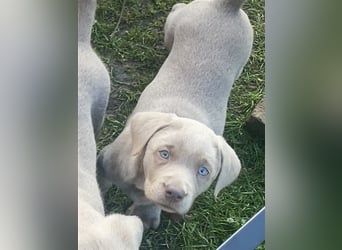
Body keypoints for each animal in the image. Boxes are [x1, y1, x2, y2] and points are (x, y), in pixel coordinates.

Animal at [97, 0, 252, 230]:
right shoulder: (106, 163)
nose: (175, 193)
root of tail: (228, 7)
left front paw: (146, 215)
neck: (141, 180)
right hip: (176, 24)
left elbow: (148, 205)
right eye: (164, 154)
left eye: (204, 171)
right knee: (176, 13)